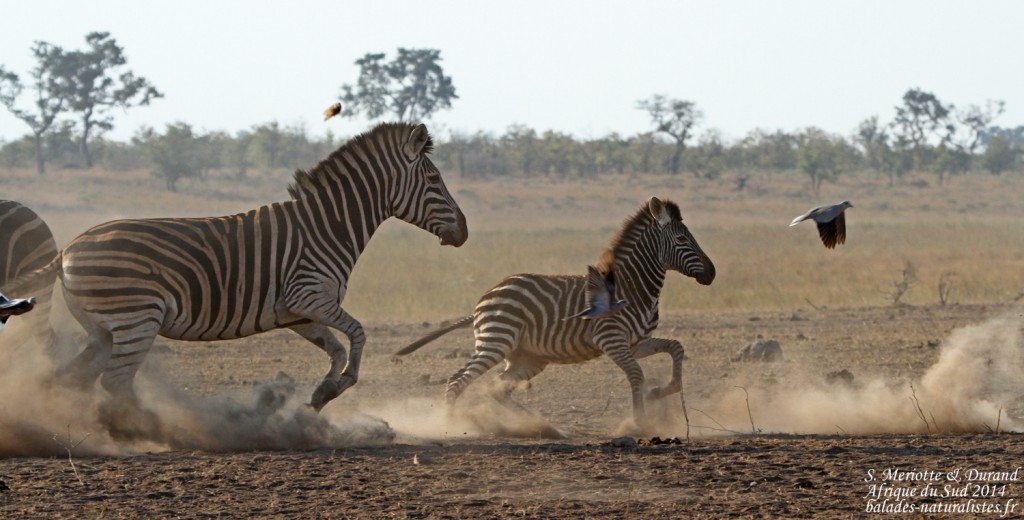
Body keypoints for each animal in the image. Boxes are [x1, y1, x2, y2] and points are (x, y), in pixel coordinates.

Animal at [393, 196, 714, 425]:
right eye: (682, 240)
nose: (711, 273)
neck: (633, 287)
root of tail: (485, 298)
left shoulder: (637, 342)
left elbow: (676, 347)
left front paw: (663, 391)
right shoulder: (611, 340)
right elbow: (636, 375)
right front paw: (640, 423)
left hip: (527, 357)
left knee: (497, 389)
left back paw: (538, 426)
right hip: (496, 342)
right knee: (457, 381)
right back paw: (449, 426)